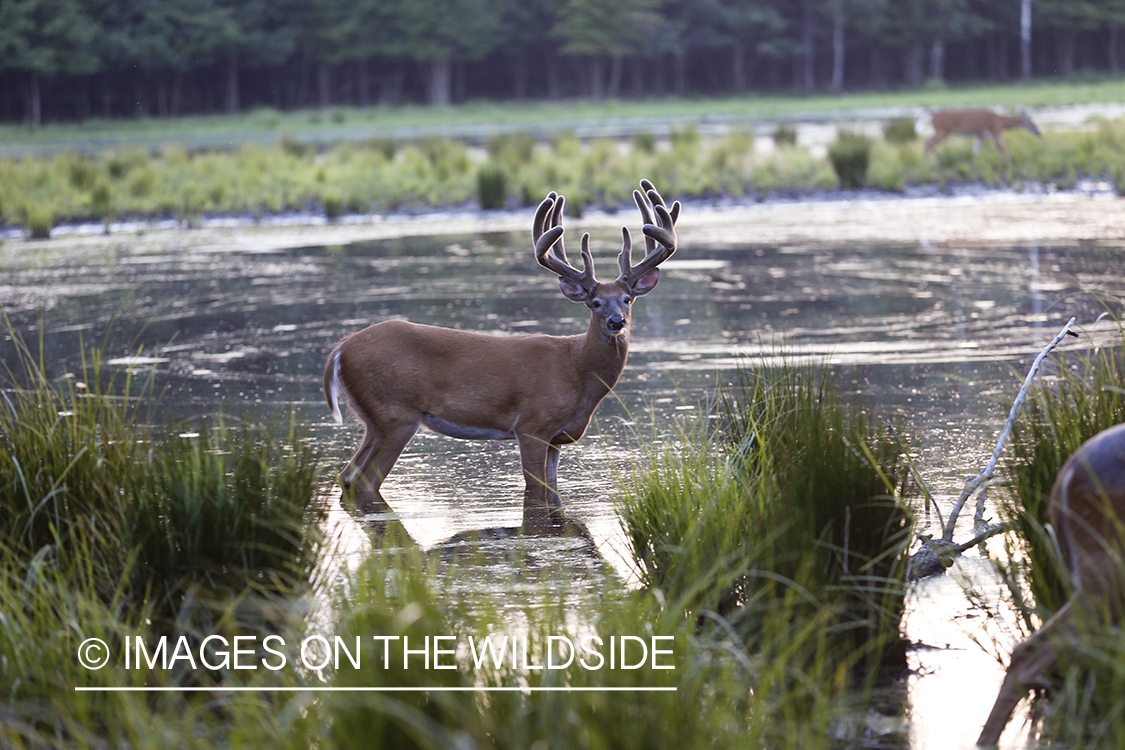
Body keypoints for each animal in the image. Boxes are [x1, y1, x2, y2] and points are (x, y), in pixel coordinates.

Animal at [321, 179, 679, 517]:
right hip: (396, 414)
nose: (617, 322)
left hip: (375, 420)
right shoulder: (532, 425)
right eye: (595, 303)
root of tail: (340, 349)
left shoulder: (557, 439)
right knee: (365, 481)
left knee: (346, 476)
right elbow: (535, 493)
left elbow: (553, 493)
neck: (576, 368)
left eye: (628, 299)